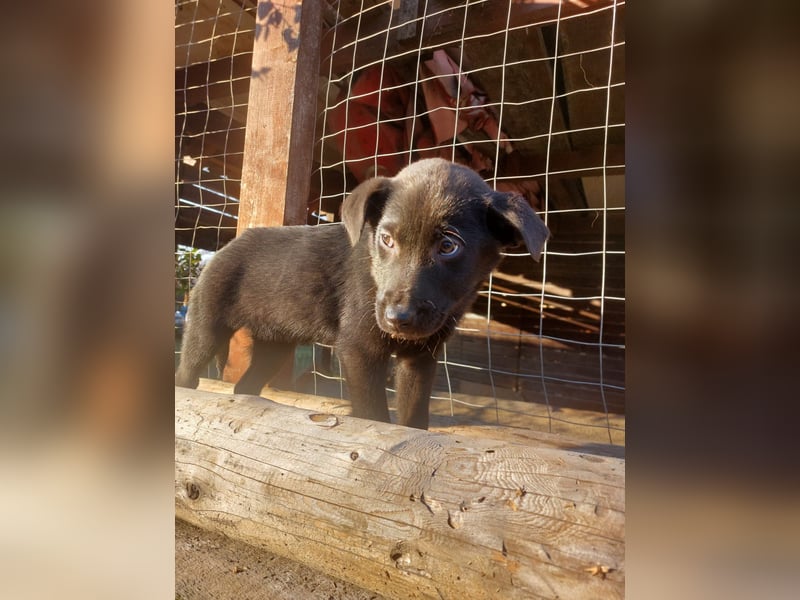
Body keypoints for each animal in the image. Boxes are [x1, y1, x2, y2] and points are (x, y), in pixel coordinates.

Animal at [175, 159, 552, 428]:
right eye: (386, 240)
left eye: (448, 246)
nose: (397, 318)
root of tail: (225, 248)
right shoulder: (360, 348)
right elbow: (373, 418)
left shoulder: (421, 358)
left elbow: (413, 417)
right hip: (207, 324)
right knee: (189, 371)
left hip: (274, 345)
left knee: (245, 388)